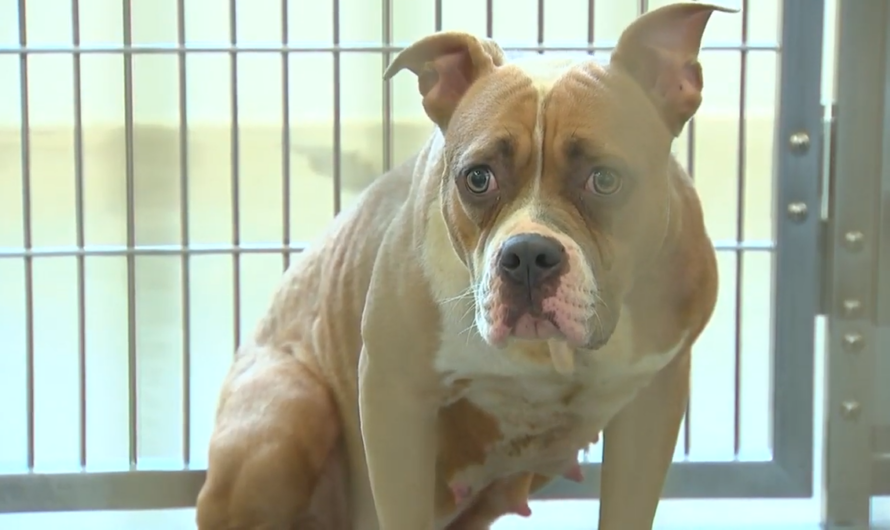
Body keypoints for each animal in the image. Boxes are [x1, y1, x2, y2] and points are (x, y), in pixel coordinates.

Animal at [196, 4, 728, 528]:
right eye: (478, 178)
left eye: (605, 179)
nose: (527, 255)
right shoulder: (393, 397)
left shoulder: (653, 403)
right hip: (286, 415)